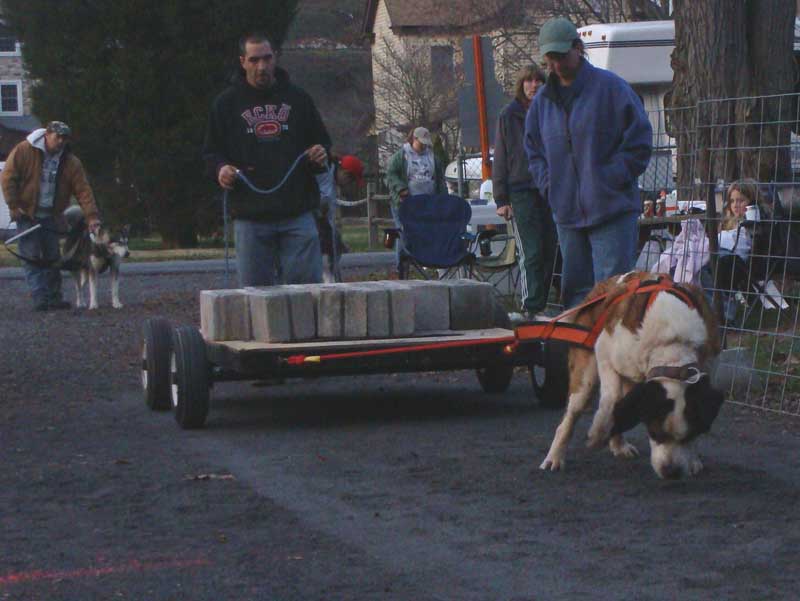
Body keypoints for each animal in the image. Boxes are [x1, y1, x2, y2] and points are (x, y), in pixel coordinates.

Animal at [544, 272, 724, 478]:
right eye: (654, 433)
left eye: (689, 436)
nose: (671, 472)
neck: (672, 344)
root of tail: (601, 287)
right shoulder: (604, 350)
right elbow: (611, 398)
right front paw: (597, 435)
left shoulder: (710, 365)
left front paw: (693, 459)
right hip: (585, 377)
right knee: (572, 414)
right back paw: (554, 457)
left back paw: (618, 445)